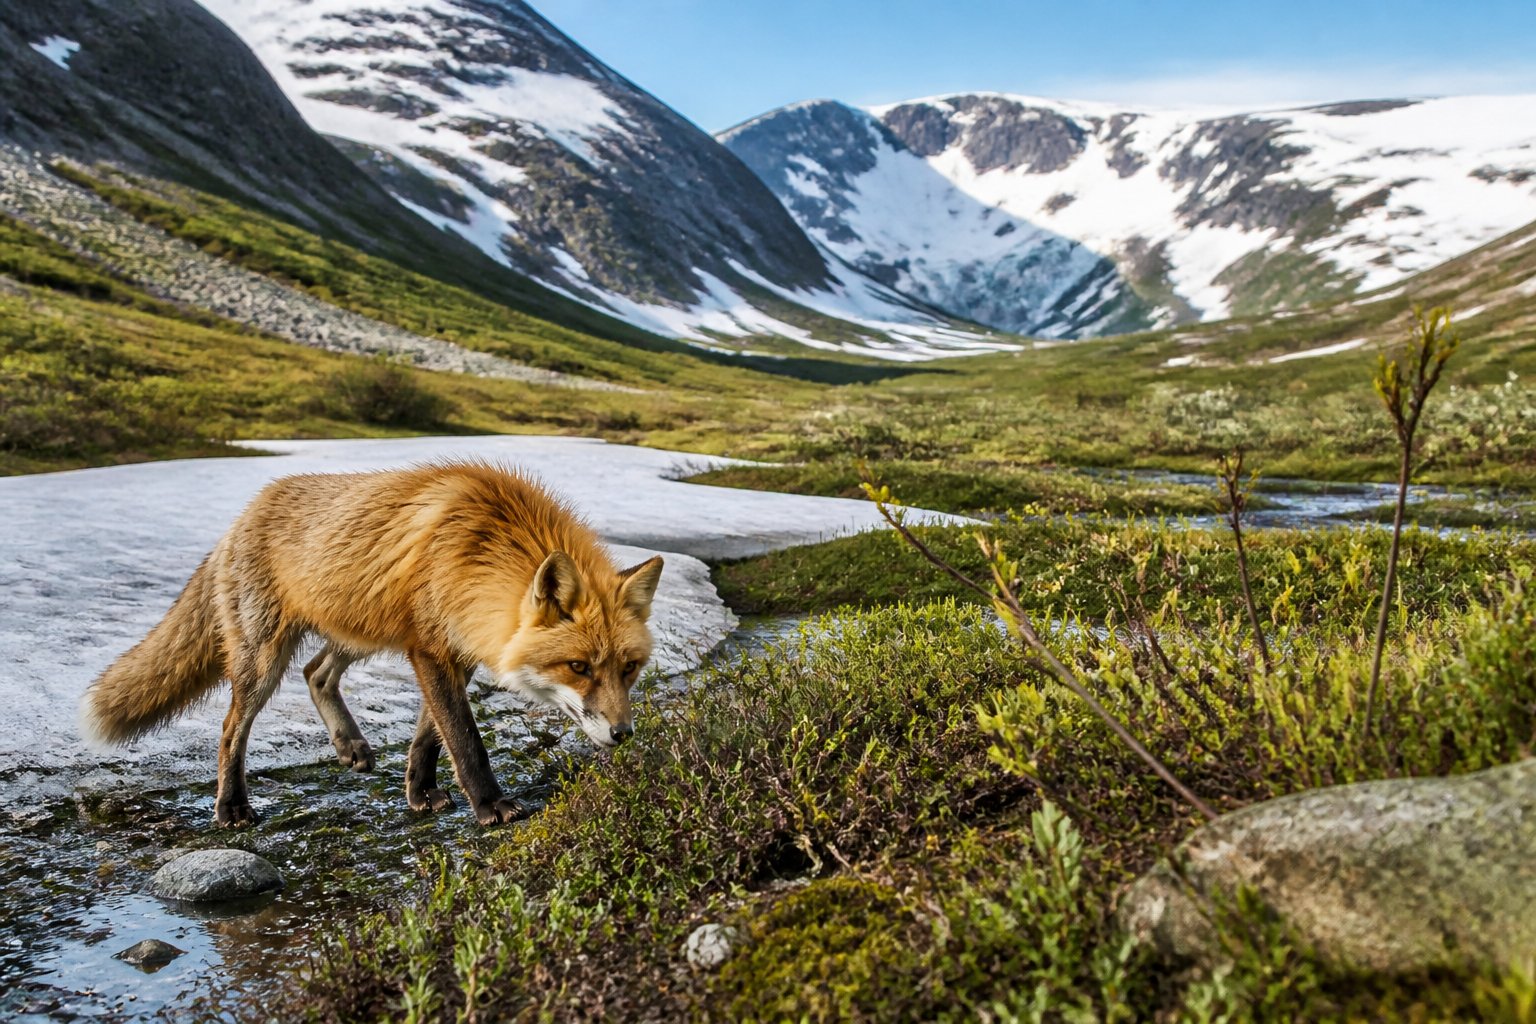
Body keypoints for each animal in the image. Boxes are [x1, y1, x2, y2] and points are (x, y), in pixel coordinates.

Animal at [79, 462, 663, 828]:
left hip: (360, 629)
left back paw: (349, 744)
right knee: (230, 730)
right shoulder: (430, 649)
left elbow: (429, 736)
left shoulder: (450, 650)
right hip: (264, 659)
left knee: (316, 673)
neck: (481, 551)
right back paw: (231, 807)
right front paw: (490, 803)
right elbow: (463, 738)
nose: (623, 734)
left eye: (629, 668)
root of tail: (242, 516)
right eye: (578, 666)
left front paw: (419, 791)